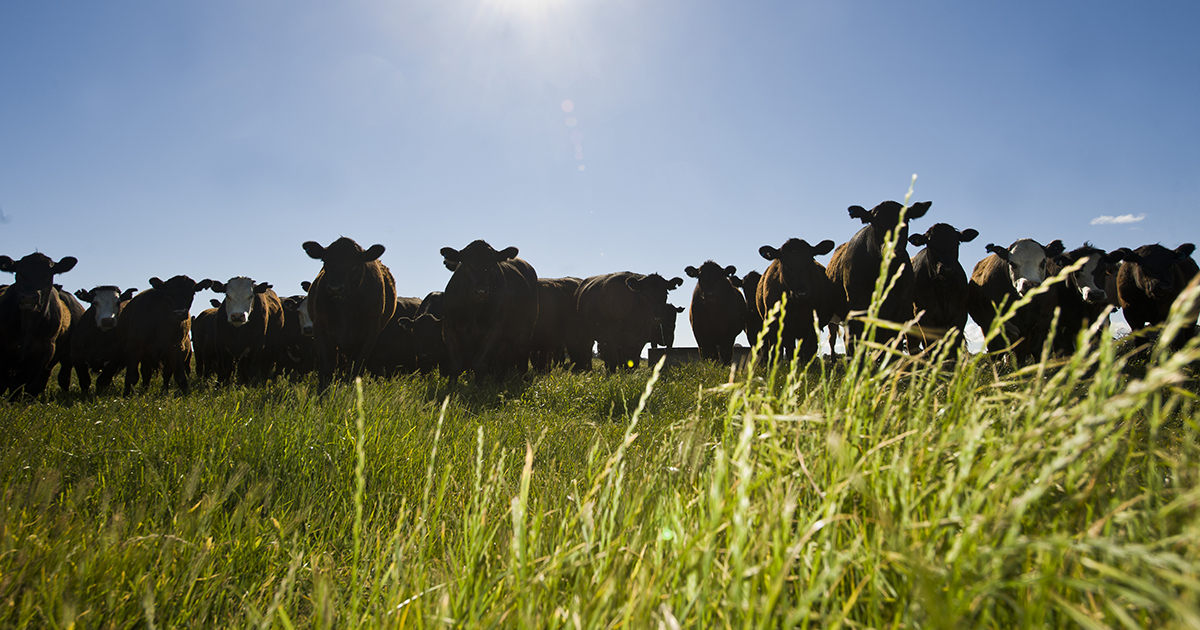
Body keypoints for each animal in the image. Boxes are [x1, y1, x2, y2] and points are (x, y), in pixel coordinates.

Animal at [0, 253, 79, 399]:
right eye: (19, 273)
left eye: (48, 274)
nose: (29, 298)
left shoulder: (46, 348)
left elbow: (30, 384)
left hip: (67, 356)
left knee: (62, 378)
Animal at [303, 238, 398, 390]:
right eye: (325, 262)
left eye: (356, 264)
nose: (335, 288)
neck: (345, 310)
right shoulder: (319, 326)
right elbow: (327, 366)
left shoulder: (371, 330)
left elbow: (356, 367)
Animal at [439, 240, 539, 380]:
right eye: (466, 265)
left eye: (492, 265)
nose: (481, 292)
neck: (473, 310)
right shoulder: (448, 327)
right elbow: (455, 365)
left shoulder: (494, 329)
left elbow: (479, 363)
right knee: (500, 358)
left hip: (527, 326)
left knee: (522, 351)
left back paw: (522, 379)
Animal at [826, 200, 931, 353]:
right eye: (875, 223)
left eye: (905, 221)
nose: (893, 250)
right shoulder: (858, 307)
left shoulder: (901, 309)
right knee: (837, 340)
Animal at [906, 223, 979, 355]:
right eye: (931, 245)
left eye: (956, 243)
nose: (947, 269)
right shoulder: (923, 315)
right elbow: (931, 346)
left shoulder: (960, 315)